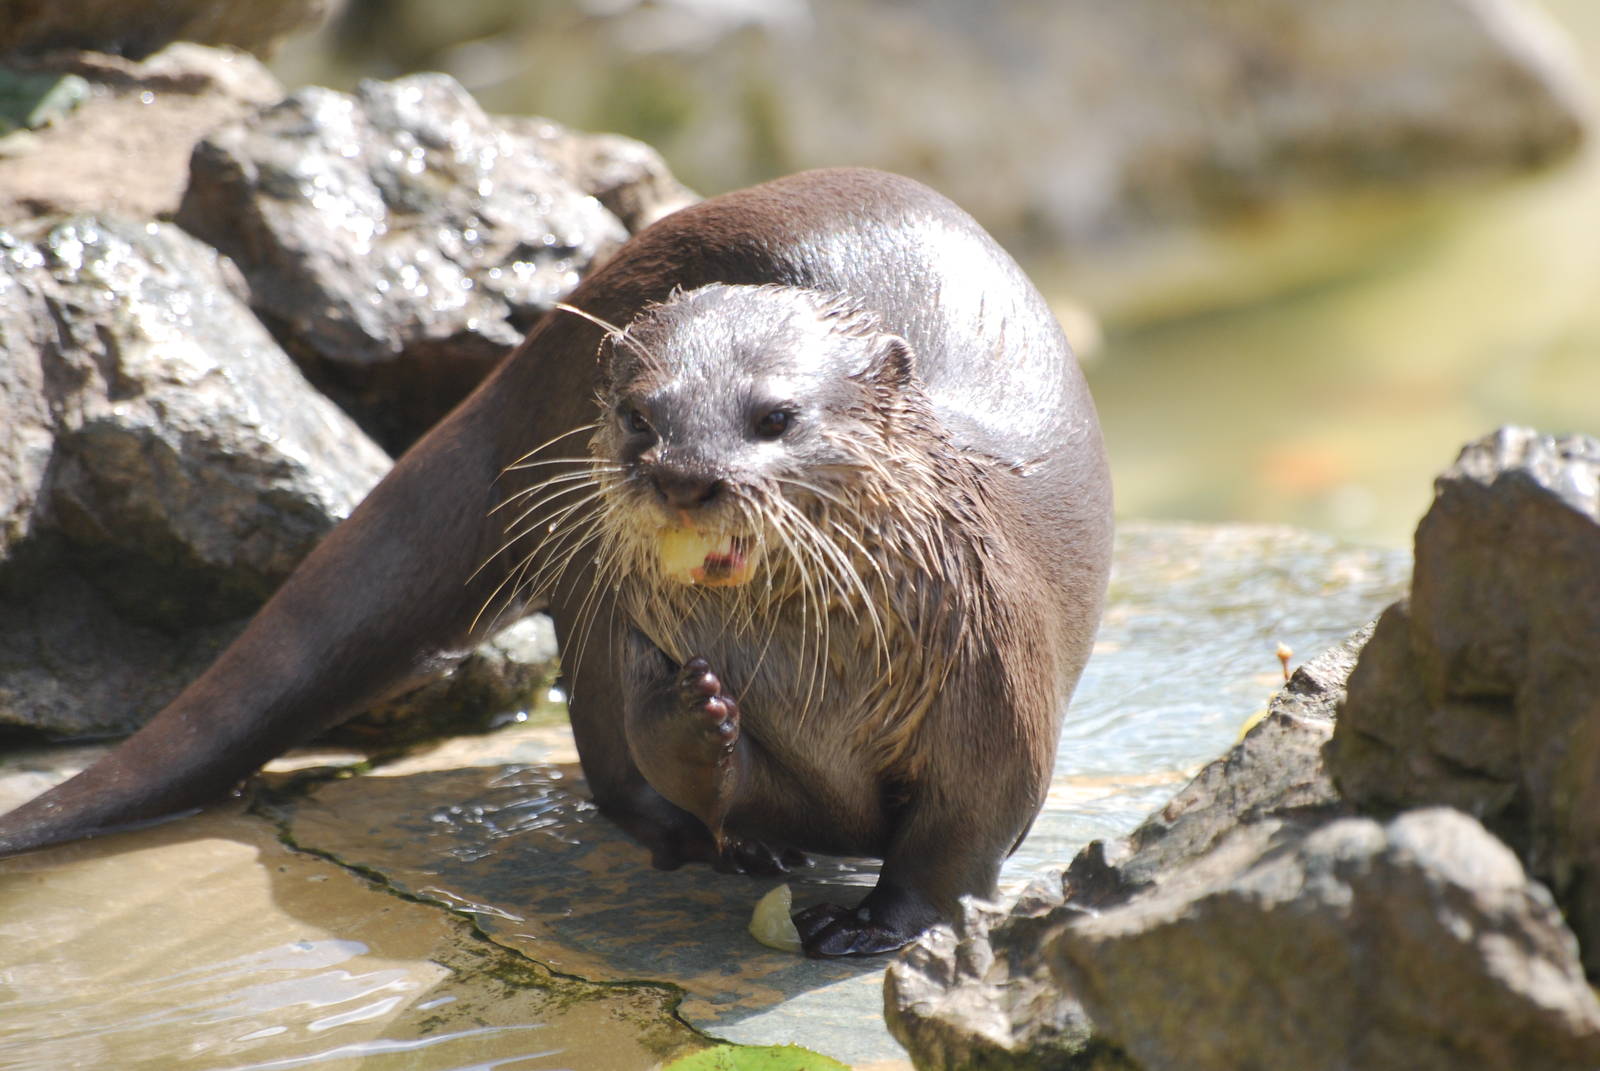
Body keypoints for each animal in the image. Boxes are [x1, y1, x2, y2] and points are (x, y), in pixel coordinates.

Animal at [0, 168, 1112, 957]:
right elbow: (702, 768)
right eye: (641, 416)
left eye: (775, 416)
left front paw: (877, 925)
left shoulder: (990, 695)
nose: (685, 475)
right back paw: (680, 836)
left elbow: (955, 842)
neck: (821, 687)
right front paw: (697, 725)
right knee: (604, 752)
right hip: (583, 591)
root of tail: (523, 363)